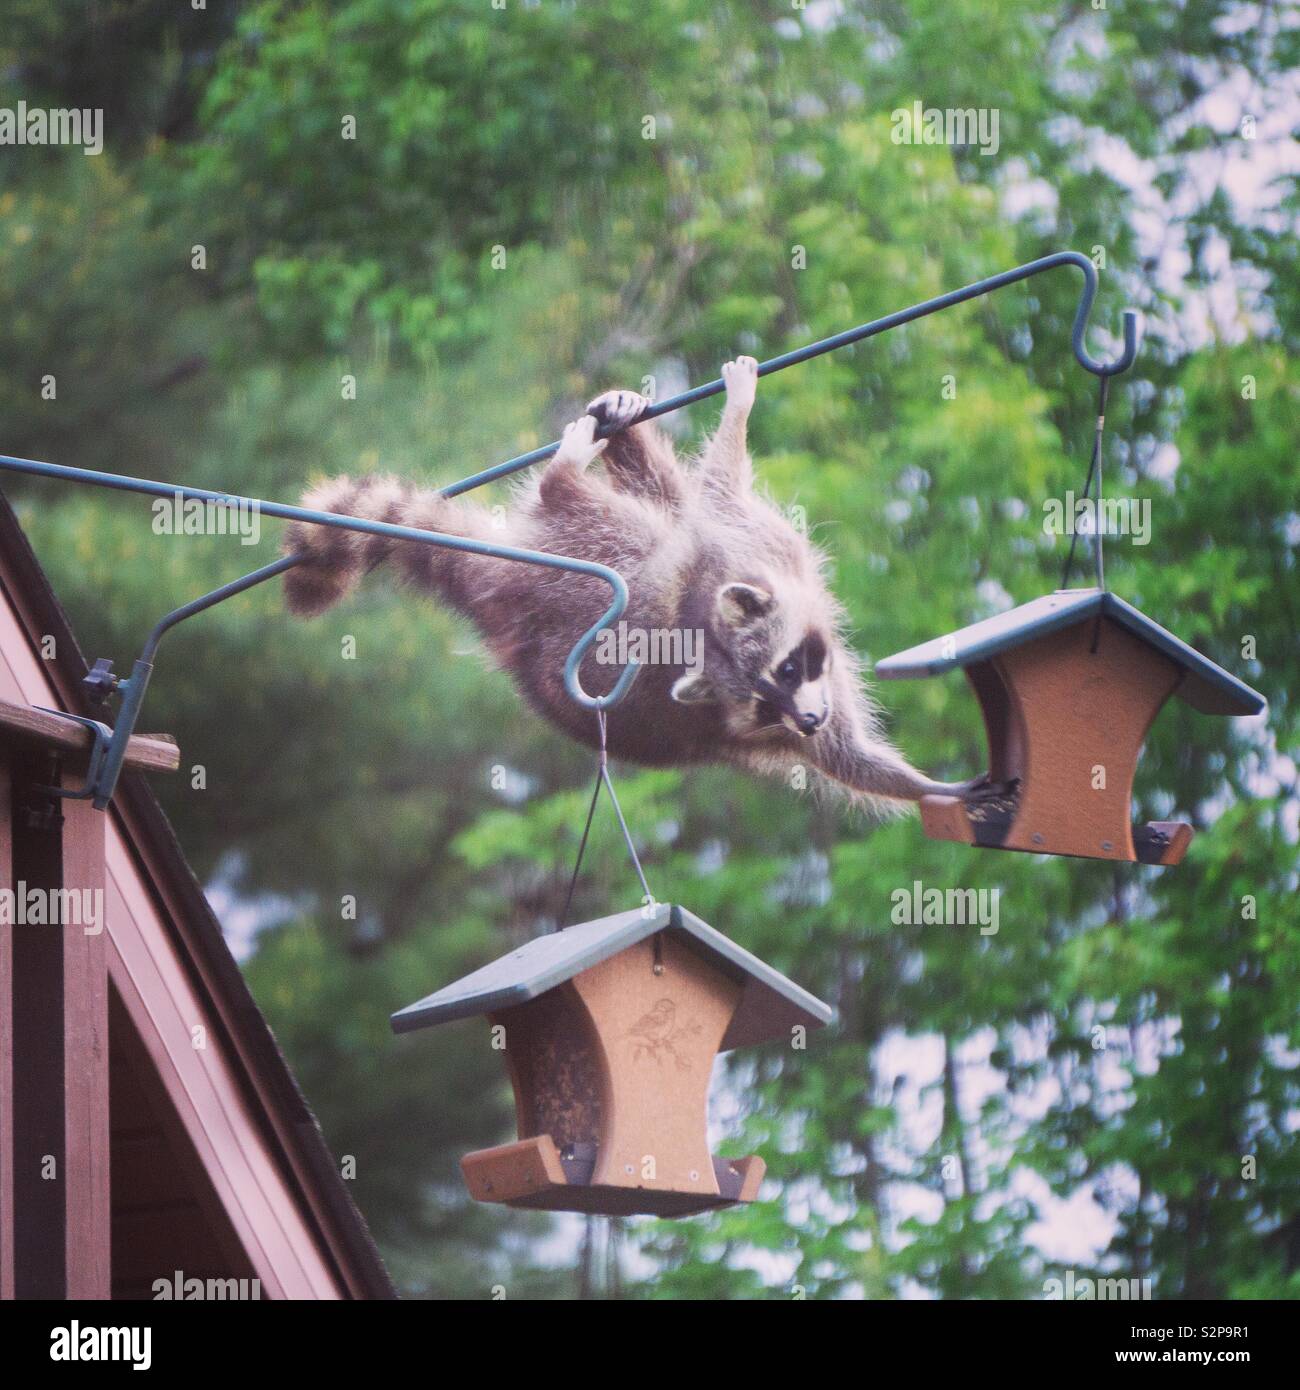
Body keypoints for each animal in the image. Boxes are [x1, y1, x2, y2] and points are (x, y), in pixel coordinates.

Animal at [283, 356, 982, 811]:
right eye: (766, 696)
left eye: (785, 676)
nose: (806, 719)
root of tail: (493, 591)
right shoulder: (743, 550)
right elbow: (720, 489)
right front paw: (738, 409)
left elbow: (849, 756)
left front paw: (927, 787)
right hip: (572, 559)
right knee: (610, 515)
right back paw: (568, 471)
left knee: (662, 502)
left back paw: (626, 436)